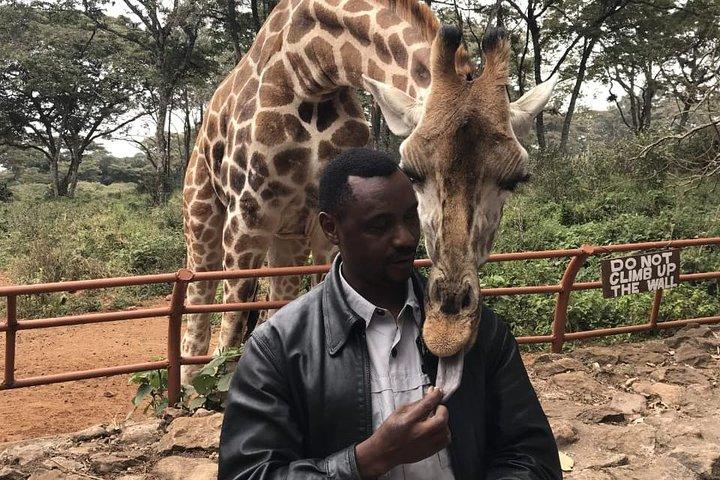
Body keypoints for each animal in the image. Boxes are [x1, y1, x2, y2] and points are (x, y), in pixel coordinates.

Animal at [180, 0, 557, 383]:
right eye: (411, 172)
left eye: (516, 179)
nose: (448, 330)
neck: (312, 72)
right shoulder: (247, 216)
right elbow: (232, 324)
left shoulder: (325, 226)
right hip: (203, 216)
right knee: (198, 304)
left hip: (289, 234)